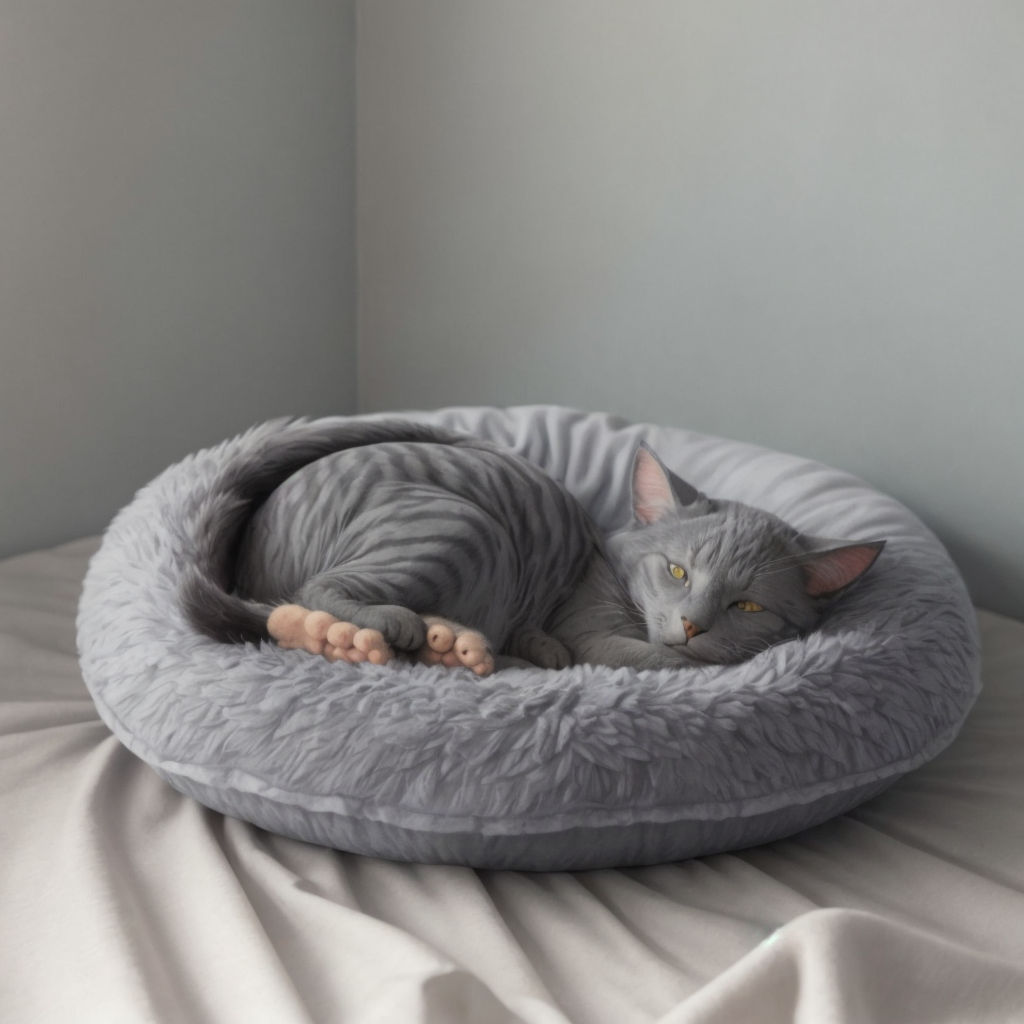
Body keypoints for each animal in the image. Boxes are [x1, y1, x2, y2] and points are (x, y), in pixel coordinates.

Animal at [180, 415, 884, 671]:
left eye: (747, 606)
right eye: (679, 573)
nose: (692, 625)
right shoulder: (592, 632)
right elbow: (674, 663)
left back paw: (448, 644)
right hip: (461, 524)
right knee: (314, 591)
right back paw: (389, 630)